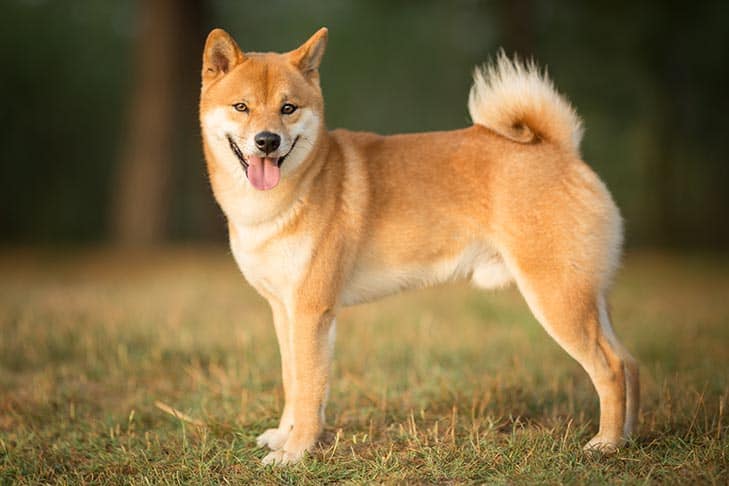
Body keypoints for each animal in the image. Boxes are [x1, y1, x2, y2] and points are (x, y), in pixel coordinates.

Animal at [199, 27, 636, 468]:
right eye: (241, 107)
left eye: (288, 108)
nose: (267, 141)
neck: (288, 195)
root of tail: (561, 150)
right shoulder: (284, 309)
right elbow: (292, 380)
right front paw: (283, 436)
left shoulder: (311, 311)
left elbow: (309, 388)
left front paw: (296, 452)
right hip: (586, 298)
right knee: (629, 362)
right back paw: (628, 437)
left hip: (558, 298)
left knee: (612, 366)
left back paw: (605, 443)